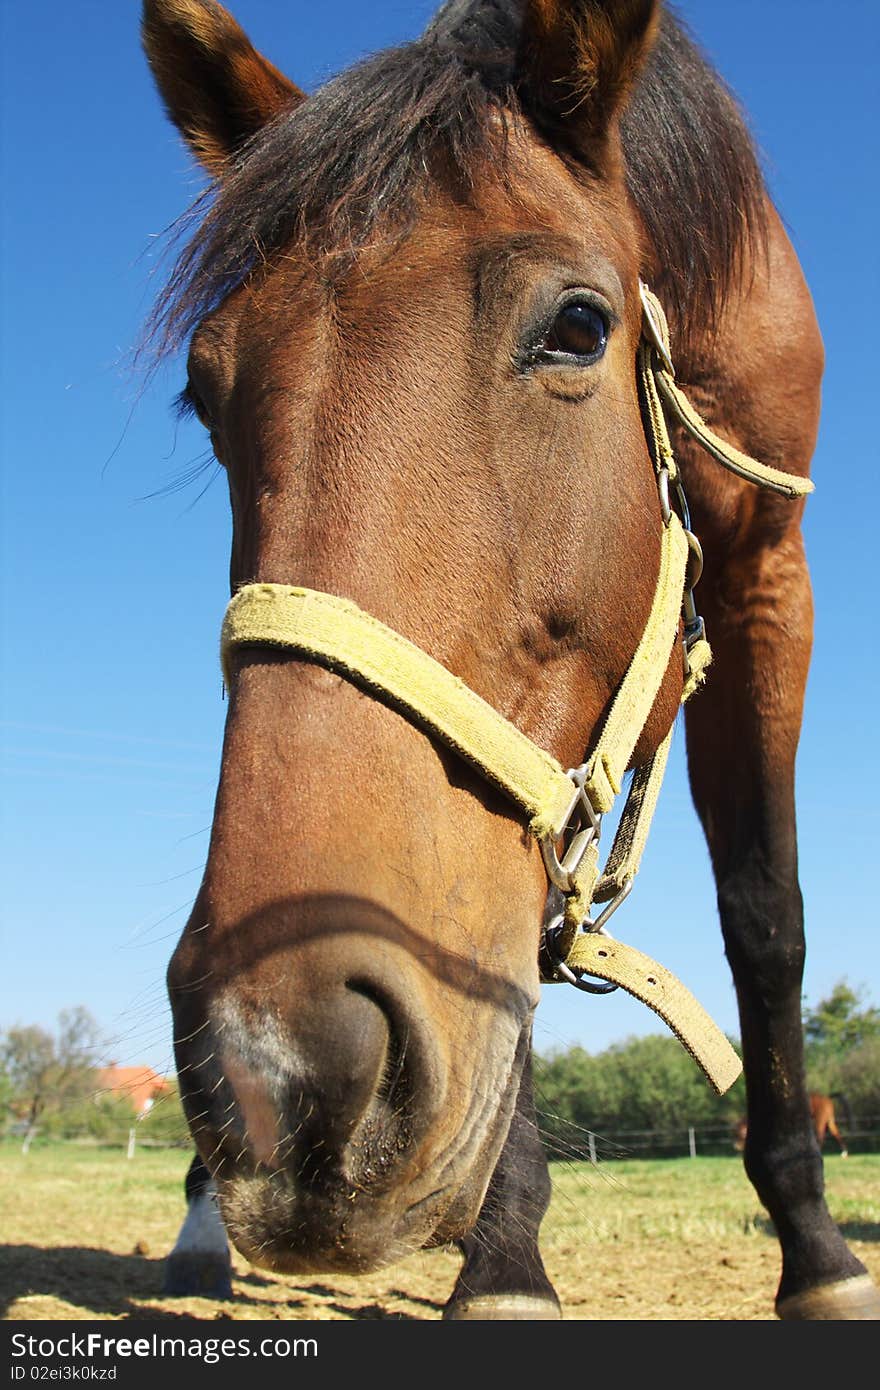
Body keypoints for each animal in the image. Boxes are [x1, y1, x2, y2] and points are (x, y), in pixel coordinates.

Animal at [140, 0, 873, 1323]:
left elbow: (767, 914)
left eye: (578, 326)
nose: (281, 1070)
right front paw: (506, 1258)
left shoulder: (765, 579)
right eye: (205, 392)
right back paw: (202, 1220)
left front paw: (818, 1252)